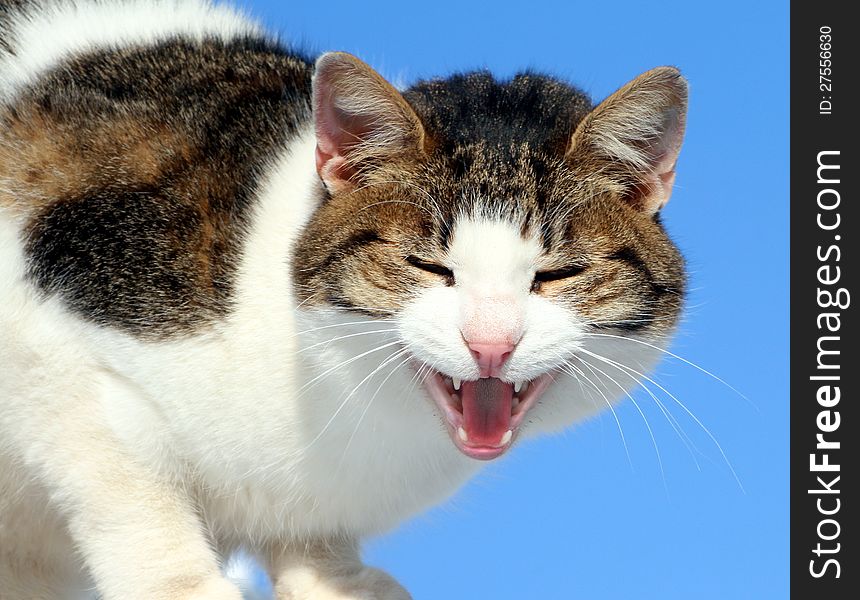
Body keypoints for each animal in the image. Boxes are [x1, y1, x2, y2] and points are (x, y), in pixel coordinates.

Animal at [0, 1, 684, 600]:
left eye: (557, 274)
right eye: (428, 266)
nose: (491, 343)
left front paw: (331, 577)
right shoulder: (49, 348)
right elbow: (128, 490)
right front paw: (184, 588)